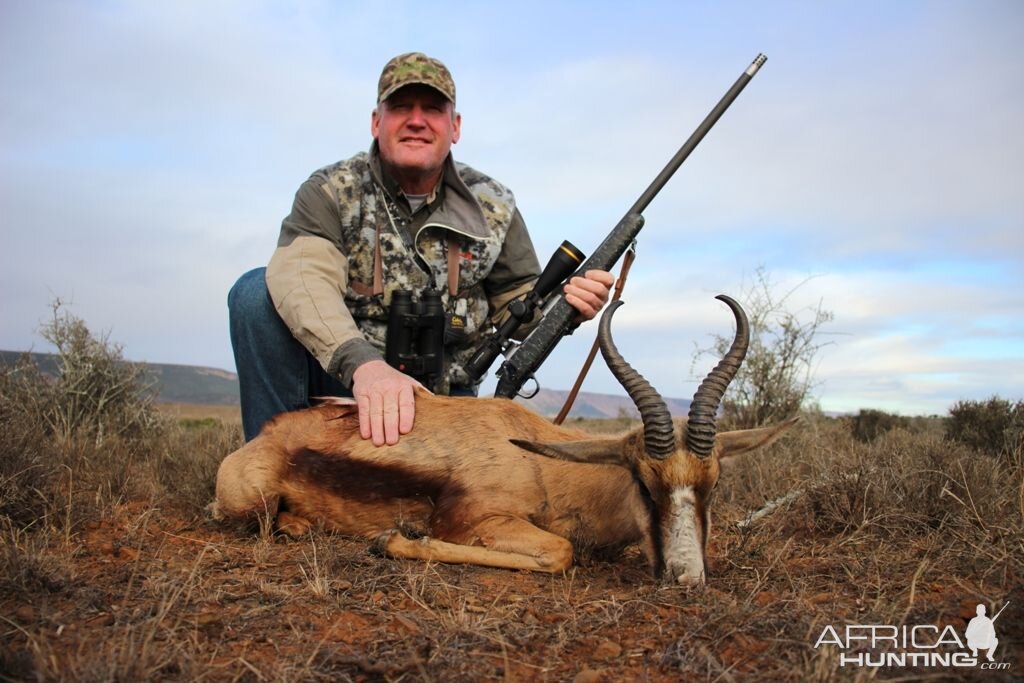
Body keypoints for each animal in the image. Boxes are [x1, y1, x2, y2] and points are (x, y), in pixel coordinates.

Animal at [211, 296, 794, 585]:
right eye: (645, 483)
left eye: (713, 484)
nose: (687, 577)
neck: (547, 467)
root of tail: (267, 435)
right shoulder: (479, 522)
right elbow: (559, 552)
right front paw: (393, 540)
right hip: (250, 500)